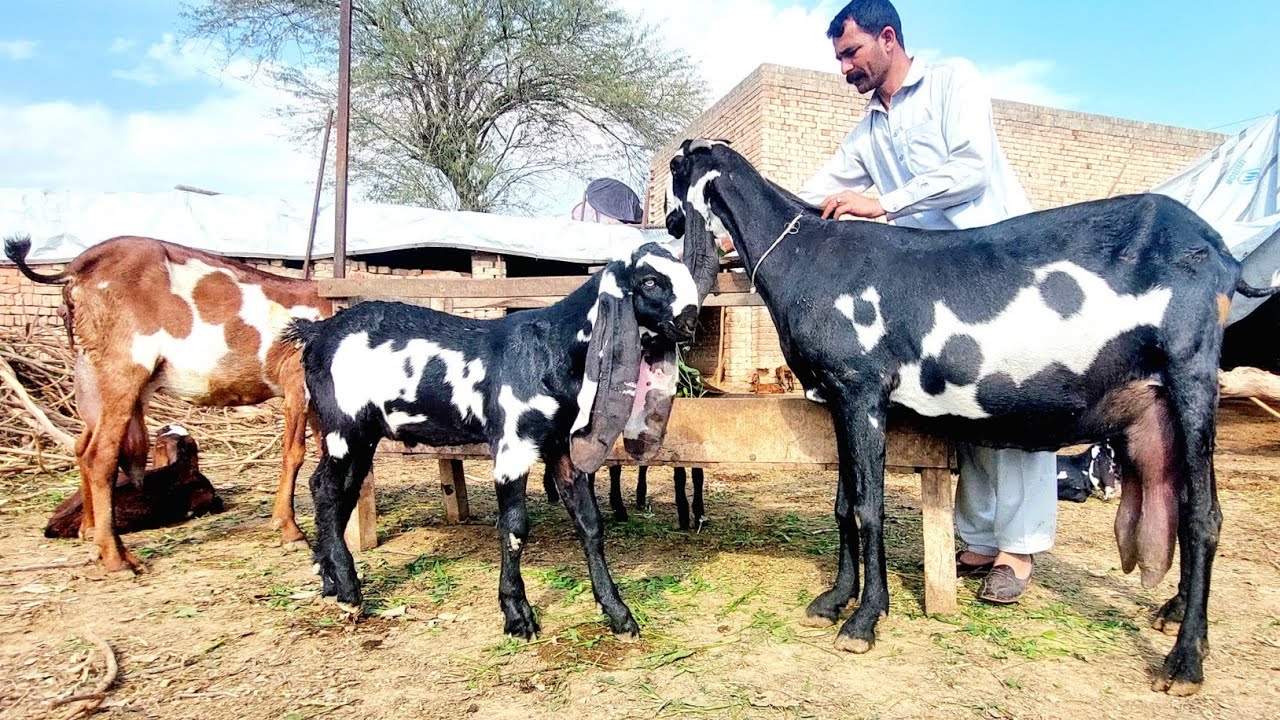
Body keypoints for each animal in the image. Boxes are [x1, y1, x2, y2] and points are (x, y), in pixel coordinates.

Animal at [286, 241, 705, 639]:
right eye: (649, 281)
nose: (690, 322)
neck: (549, 349)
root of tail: (317, 333)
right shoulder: (512, 446)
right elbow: (515, 527)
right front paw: (517, 614)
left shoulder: (561, 448)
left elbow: (590, 523)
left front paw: (618, 614)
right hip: (343, 425)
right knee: (329, 488)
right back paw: (348, 589)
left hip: (360, 433)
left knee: (333, 487)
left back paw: (329, 577)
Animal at [664, 138, 1280, 695]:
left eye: (673, 168)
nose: (665, 223)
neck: (806, 254)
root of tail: (1221, 254)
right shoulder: (839, 398)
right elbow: (843, 505)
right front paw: (835, 600)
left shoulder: (863, 388)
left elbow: (868, 507)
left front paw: (864, 621)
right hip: (1162, 405)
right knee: (1186, 502)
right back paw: (1174, 613)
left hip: (1192, 374)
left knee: (1204, 516)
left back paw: (1185, 662)